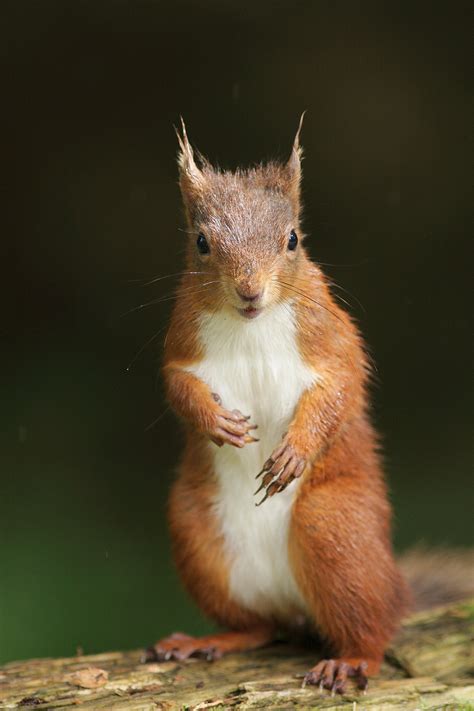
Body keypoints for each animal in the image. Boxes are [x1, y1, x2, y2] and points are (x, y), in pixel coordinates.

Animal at [144, 119, 466, 692]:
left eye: (292, 239)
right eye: (201, 242)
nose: (249, 290)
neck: (250, 324)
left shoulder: (332, 338)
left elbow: (341, 386)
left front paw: (295, 450)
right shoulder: (183, 342)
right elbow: (179, 385)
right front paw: (216, 422)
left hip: (333, 529)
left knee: (372, 629)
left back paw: (352, 659)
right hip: (197, 536)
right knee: (260, 626)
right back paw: (209, 640)